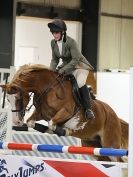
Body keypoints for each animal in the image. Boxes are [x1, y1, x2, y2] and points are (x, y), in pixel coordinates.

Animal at [0, 64, 129, 162]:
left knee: (119, 161)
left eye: (18, 98)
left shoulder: (66, 112)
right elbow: (31, 122)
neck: (47, 88)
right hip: (93, 146)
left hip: (110, 144)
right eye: (8, 100)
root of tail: (115, 116)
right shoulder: (41, 114)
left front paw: (64, 131)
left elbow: (52, 123)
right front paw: (47, 130)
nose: (16, 121)